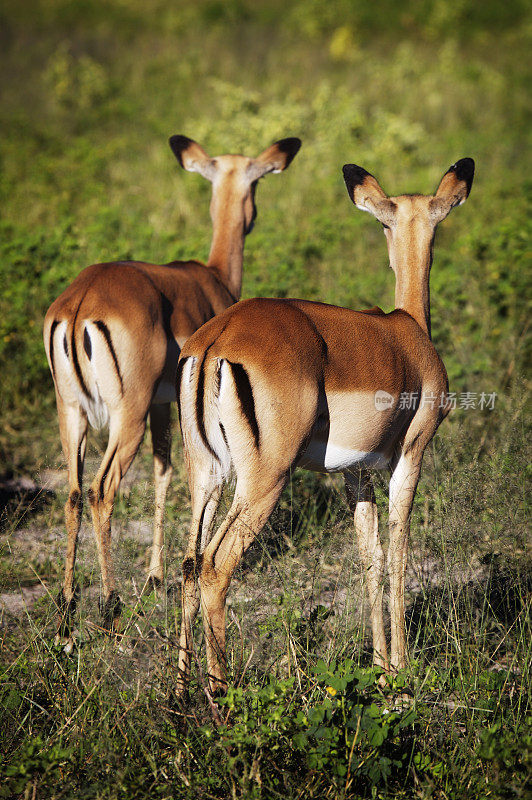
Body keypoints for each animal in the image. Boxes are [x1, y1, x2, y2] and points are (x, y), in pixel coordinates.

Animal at [42, 130, 300, 644]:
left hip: (71, 413)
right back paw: (110, 610)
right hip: (127, 415)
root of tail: (80, 303)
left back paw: (65, 615)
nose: (254, 216)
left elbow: (162, 472)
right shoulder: (166, 409)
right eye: (256, 182)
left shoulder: (162, 406)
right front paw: (152, 580)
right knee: (101, 491)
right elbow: (170, 476)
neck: (212, 277)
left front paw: (154, 577)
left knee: (74, 493)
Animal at [177, 158, 476, 692]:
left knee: (189, 566)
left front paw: (381, 667)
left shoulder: (354, 474)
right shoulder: (411, 454)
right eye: (386, 223)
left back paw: (179, 697)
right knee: (214, 566)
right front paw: (401, 670)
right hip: (264, 480)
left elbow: (369, 556)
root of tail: (217, 340)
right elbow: (398, 550)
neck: (407, 333)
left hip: (206, 475)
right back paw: (219, 699)